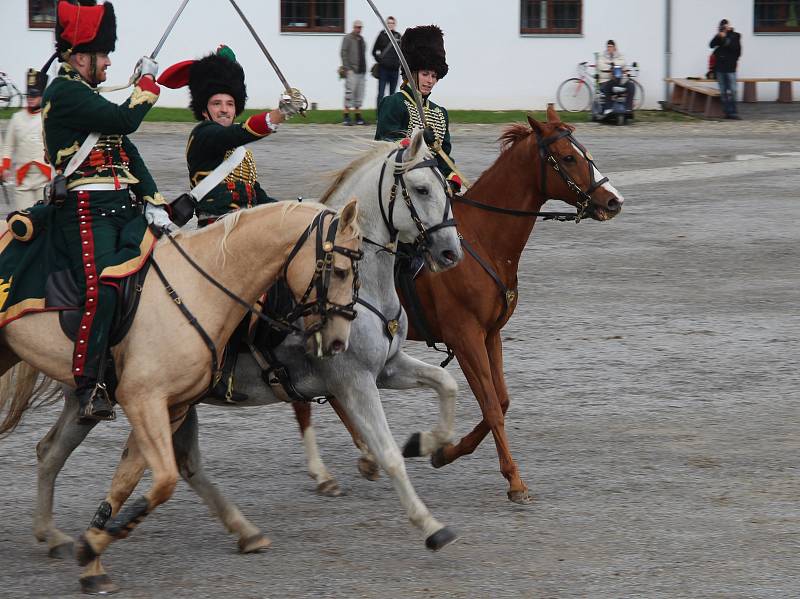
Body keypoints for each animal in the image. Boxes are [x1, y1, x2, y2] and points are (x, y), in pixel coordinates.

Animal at [0, 199, 360, 592]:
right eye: (340, 271)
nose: (339, 342)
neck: (200, 290)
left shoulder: (172, 407)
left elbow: (130, 482)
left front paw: (92, 554)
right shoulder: (143, 401)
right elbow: (164, 481)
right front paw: (96, 546)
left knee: (50, 451)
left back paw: (52, 535)